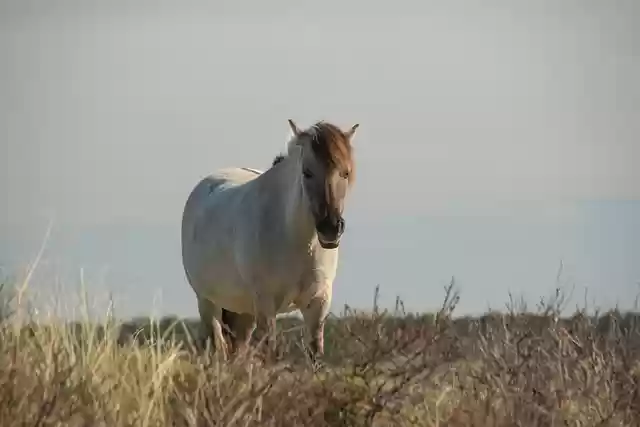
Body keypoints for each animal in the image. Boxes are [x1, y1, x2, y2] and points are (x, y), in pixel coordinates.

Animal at [180, 118, 360, 362]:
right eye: (307, 172)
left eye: (345, 173)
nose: (330, 229)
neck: (297, 240)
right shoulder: (266, 305)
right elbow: (270, 352)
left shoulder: (318, 304)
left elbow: (315, 354)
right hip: (208, 303)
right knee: (217, 346)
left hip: (244, 311)